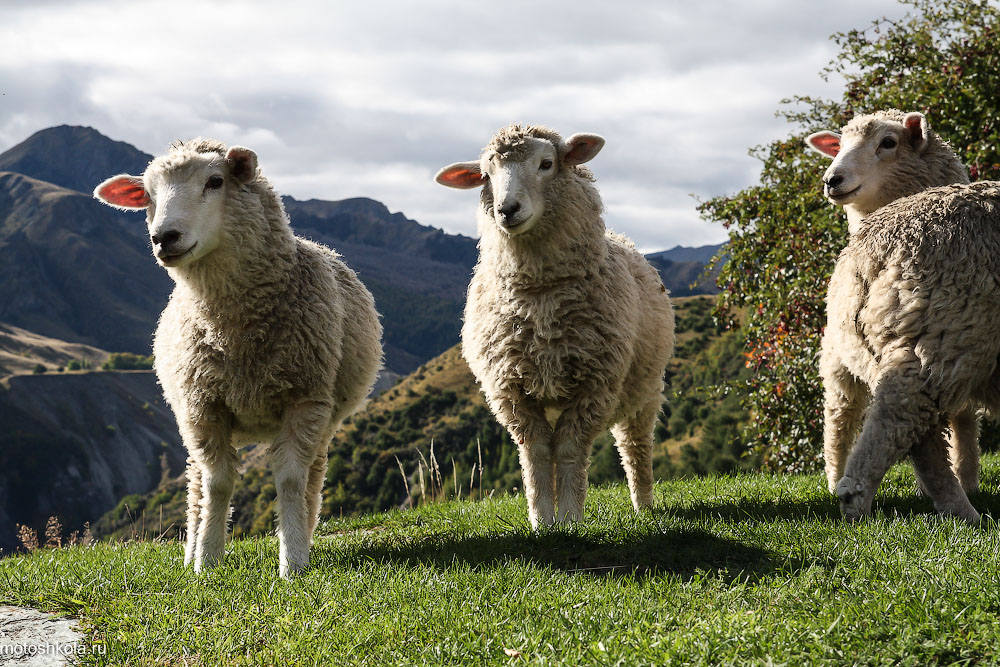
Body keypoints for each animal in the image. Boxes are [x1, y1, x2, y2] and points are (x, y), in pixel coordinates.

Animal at [94, 139, 382, 577]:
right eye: (147, 194)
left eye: (215, 181)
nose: (164, 237)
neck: (235, 332)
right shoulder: (203, 406)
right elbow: (217, 484)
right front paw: (207, 561)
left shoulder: (304, 399)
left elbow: (291, 481)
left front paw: (293, 562)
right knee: (197, 481)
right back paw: (191, 549)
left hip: (326, 413)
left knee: (313, 476)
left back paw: (306, 535)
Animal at [435, 124, 674, 529]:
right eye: (486, 175)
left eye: (546, 163)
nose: (507, 210)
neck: (541, 299)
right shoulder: (513, 391)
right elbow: (536, 451)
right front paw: (543, 521)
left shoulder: (594, 384)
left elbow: (568, 448)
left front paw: (571, 518)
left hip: (644, 391)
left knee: (635, 447)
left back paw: (643, 505)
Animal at [805, 110, 980, 494]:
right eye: (838, 146)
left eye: (888, 142)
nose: (831, 179)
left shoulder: (960, 339)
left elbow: (963, 416)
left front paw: (968, 476)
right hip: (838, 359)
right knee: (840, 416)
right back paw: (835, 478)